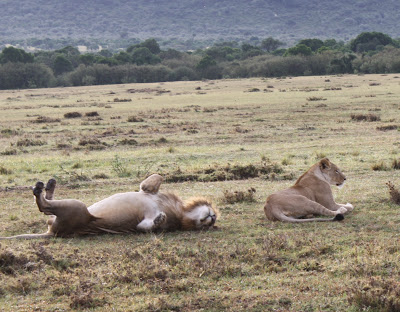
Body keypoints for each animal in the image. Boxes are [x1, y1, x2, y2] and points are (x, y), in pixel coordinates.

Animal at [0, 173, 219, 239]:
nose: (213, 217)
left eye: (209, 225)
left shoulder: (143, 221)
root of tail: (52, 233)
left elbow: (144, 227)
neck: (181, 214)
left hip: (77, 207)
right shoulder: (148, 193)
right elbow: (156, 177)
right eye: (211, 219)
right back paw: (50, 185)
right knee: (47, 211)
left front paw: (159, 219)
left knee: (45, 208)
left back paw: (40, 190)